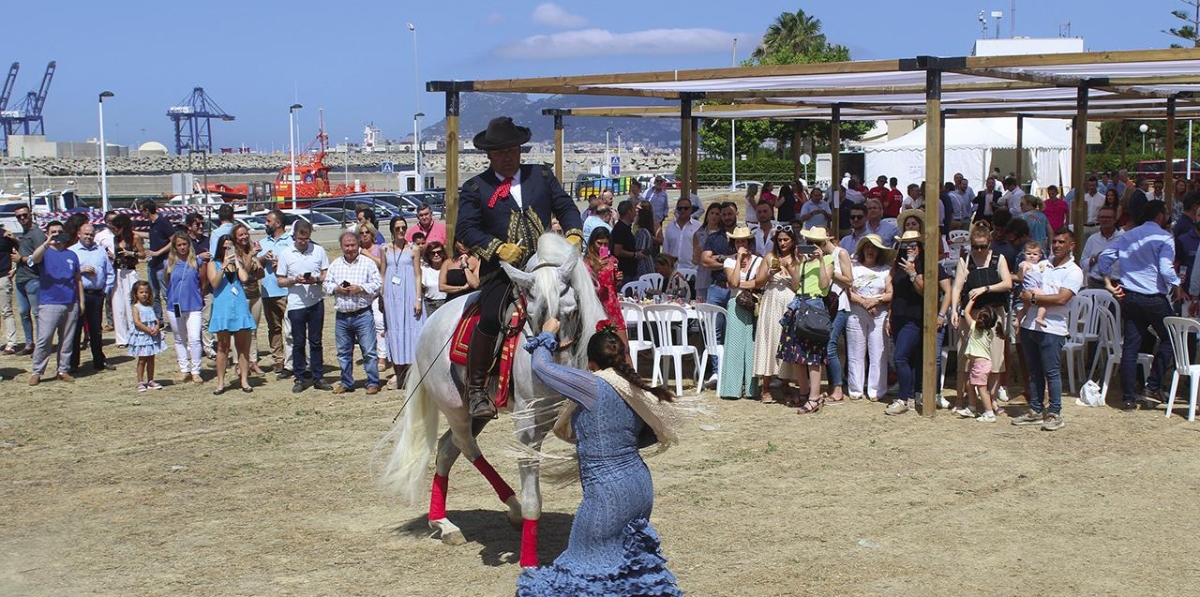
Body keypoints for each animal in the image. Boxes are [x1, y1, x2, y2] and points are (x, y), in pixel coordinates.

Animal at [376, 231, 609, 565]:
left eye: (573, 311)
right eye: (532, 315)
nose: (557, 369)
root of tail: (431, 323)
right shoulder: (528, 427)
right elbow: (533, 498)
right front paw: (529, 562)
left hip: (478, 415)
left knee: (447, 449)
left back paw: (443, 523)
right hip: (457, 409)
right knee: (464, 446)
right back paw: (506, 510)